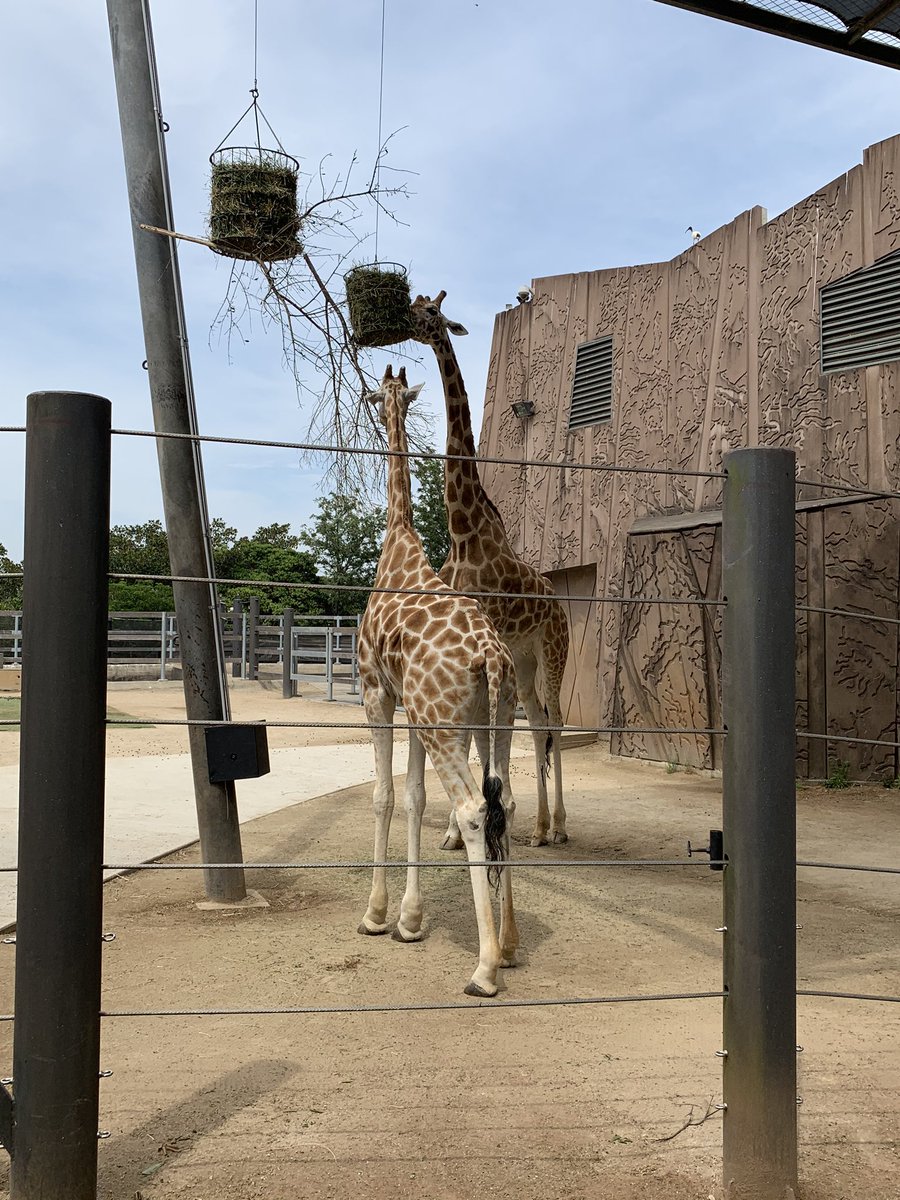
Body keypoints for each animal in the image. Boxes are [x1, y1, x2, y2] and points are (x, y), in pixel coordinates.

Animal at [355, 362, 518, 993]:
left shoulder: (377, 693)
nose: (381, 406)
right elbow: (415, 797)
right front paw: (410, 919)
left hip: (441, 721)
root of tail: (490, 653)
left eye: (376, 397)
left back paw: (485, 968)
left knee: (475, 809)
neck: (397, 539)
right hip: (489, 713)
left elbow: (383, 795)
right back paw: (510, 944)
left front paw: (377, 916)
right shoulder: (411, 706)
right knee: (505, 800)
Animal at [410, 291, 571, 849]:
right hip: (522, 657)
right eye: (414, 304)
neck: (463, 531)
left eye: (431, 313)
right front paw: (454, 835)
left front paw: (469, 826)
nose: (408, 318)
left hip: (552, 649)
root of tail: (560, 603)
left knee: (554, 721)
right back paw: (542, 828)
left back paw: (556, 827)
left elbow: (484, 736)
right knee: (539, 721)